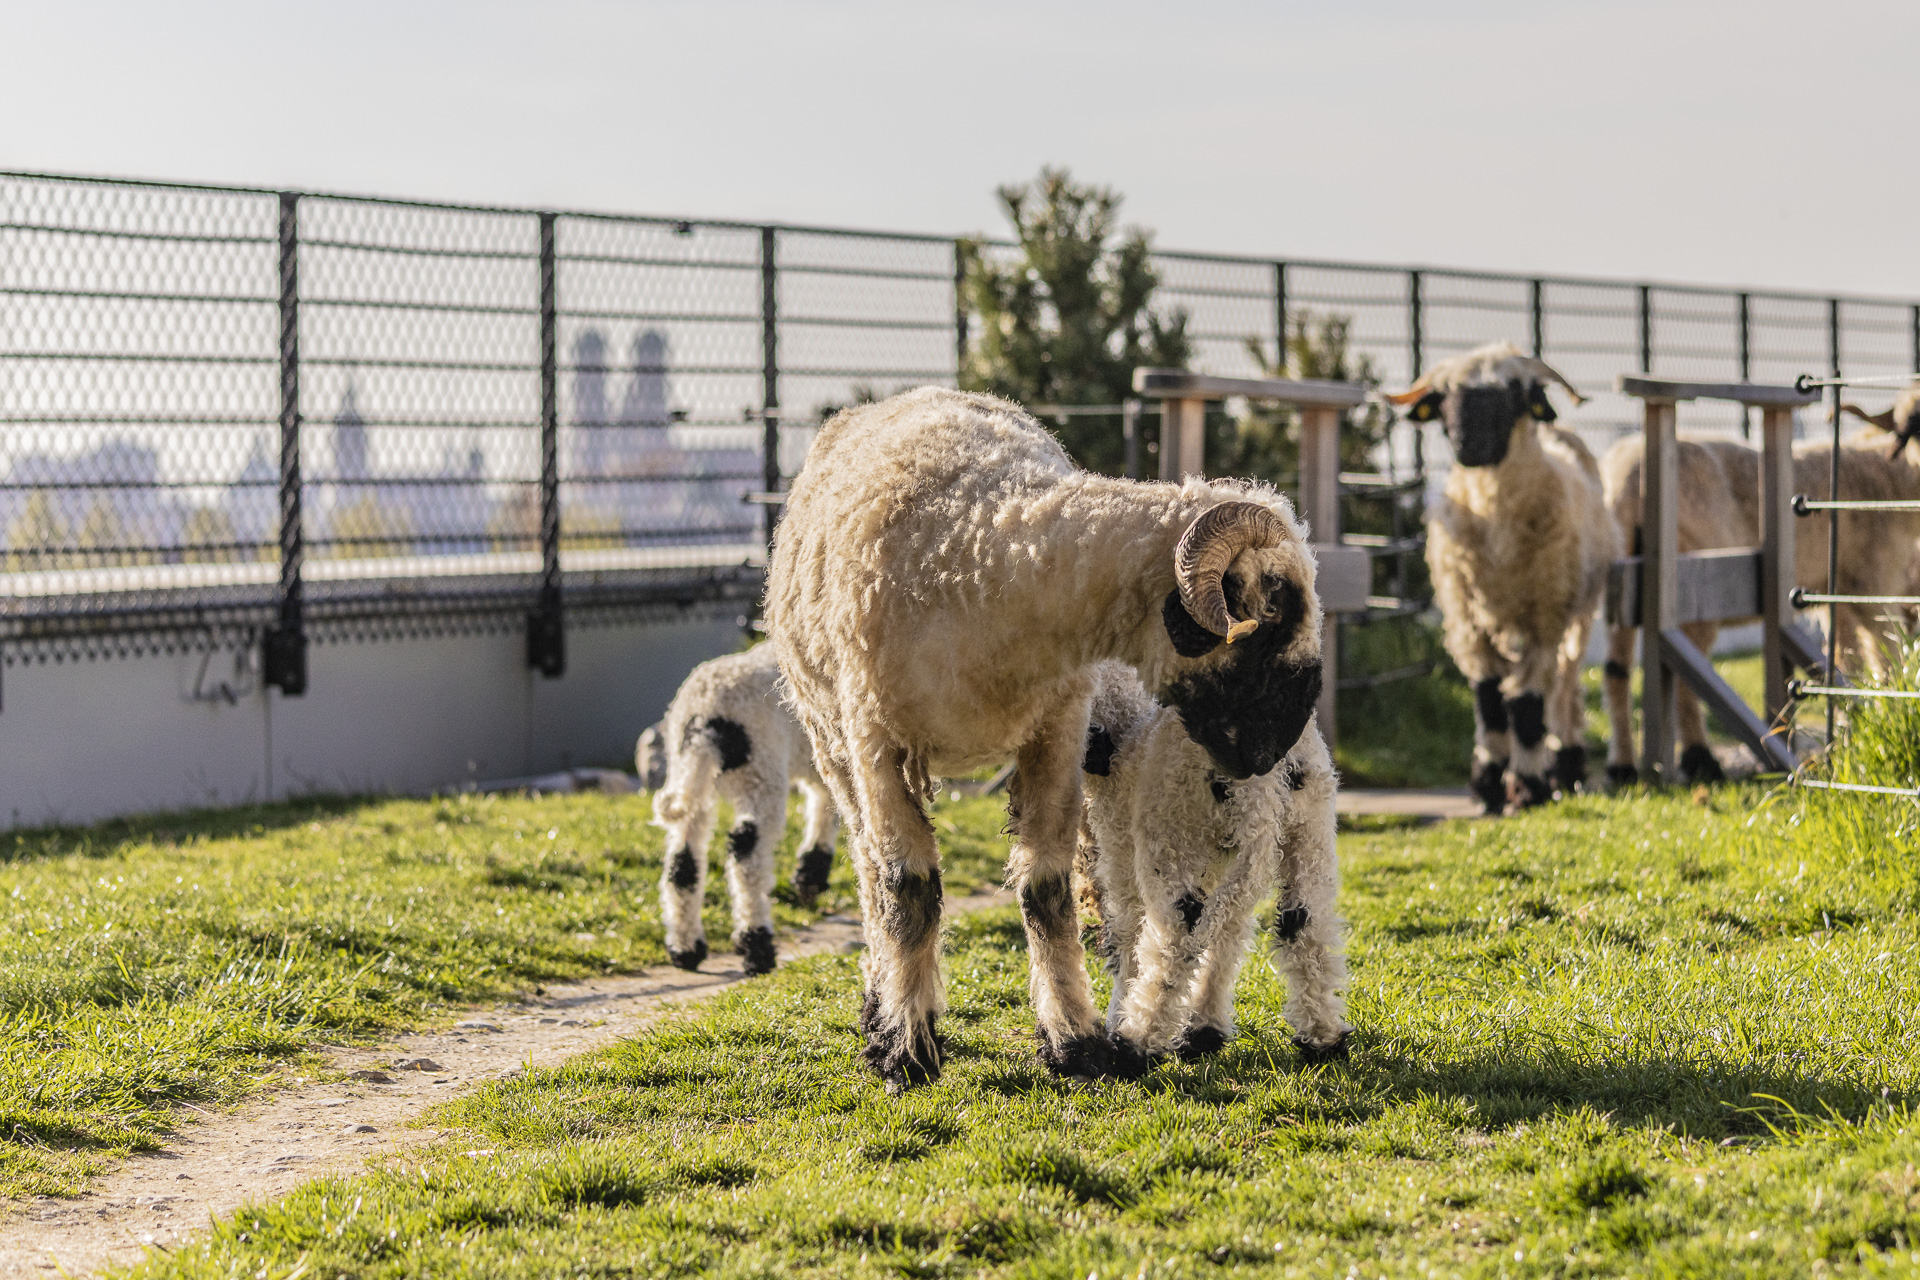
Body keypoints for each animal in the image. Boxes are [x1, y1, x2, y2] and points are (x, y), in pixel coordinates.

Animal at [649, 644, 839, 975]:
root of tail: (705, 720)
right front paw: (810, 877)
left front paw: (809, 877)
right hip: (761, 773)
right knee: (746, 856)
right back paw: (757, 947)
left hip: (692, 776)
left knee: (683, 861)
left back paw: (685, 949)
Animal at [1079, 662, 1348, 1065]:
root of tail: (1264, 787)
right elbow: (1228, 937)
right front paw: (1204, 1030)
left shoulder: (1122, 849)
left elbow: (1128, 937)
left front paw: (1121, 1016)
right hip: (1308, 832)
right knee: (1306, 926)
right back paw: (1324, 1039)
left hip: (1172, 842)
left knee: (1174, 939)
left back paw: (1135, 1044)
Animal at [1391, 342, 1617, 814]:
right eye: (1445, 399)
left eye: (1512, 395)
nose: (1467, 446)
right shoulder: (1465, 620)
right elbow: (1490, 702)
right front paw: (1488, 786)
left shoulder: (1545, 619)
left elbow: (1528, 708)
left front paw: (1529, 786)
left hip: (1577, 614)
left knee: (1563, 690)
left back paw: (1565, 770)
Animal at [1599, 386, 1920, 783]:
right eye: (1907, 428)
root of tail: (1627, 483)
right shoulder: (1873, 582)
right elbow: (1888, 661)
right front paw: (1888, 717)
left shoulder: (1838, 593)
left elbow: (1846, 663)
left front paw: (1848, 735)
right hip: (1695, 587)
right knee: (1687, 676)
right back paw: (1699, 758)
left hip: (1621, 581)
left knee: (1616, 670)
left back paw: (1623, 766)